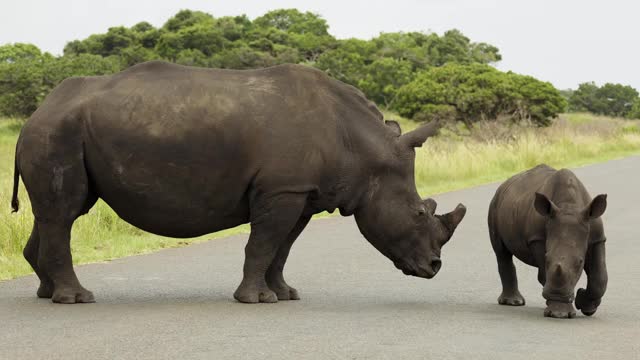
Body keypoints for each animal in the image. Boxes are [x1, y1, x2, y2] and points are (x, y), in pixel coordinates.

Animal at [11, 61, 464, 304]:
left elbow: (282, 248)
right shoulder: (282, 190)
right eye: (419, 212)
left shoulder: (302, 192)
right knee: (64, 212)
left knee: (58, 212)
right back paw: (77, 299)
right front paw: (255, 300)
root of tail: (37, 112)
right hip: (57, 133)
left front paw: (284, 294)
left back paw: (47, 294)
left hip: (61, 130)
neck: (364, 151)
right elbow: (263, 244)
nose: (435, 267)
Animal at [488, 164, 608, 318]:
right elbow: (544, 273)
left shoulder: (597, 238)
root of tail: (504, 184)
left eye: (580, 262)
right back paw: (514, 302)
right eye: (547, 258)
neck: (569, 206)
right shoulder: (536, 238)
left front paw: (587, 307)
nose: (557, 295)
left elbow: (600, 277)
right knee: (501, 252)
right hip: (495, 204)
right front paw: (559, 312)